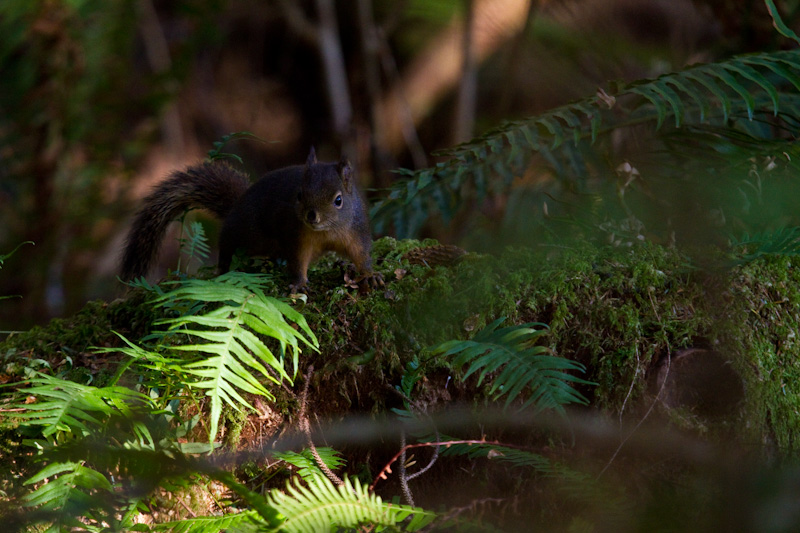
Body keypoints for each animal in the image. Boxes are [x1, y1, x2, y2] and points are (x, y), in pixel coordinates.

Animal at [120, 148, 382, 290]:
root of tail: (237, 205)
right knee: (226, 244)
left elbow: (361, 254)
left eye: (338, 200)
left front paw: (370, 275)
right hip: (246, 233)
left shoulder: (356, 231)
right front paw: (298, 283)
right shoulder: (297, 237)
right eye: (299, 195)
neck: (327, 231)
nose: (311, 217)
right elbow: (298, 261)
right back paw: (223, 268)